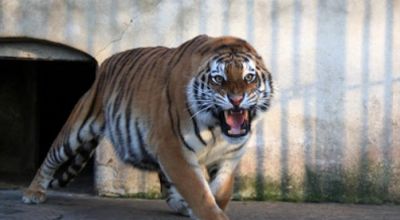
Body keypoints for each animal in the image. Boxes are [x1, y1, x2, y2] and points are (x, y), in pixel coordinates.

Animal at [21, 35, 272, 219]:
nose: (236, 100)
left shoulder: (229, 157)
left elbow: (220, 191)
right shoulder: (174, 148)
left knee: (168, 188)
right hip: (79, 124)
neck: (218, 130)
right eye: (218, 79)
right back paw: (33, 192)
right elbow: (198, 191)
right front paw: (210, 213)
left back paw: (182, 206)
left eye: (249, 78)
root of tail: (106, 63)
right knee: (51, 157)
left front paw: (208, 205)